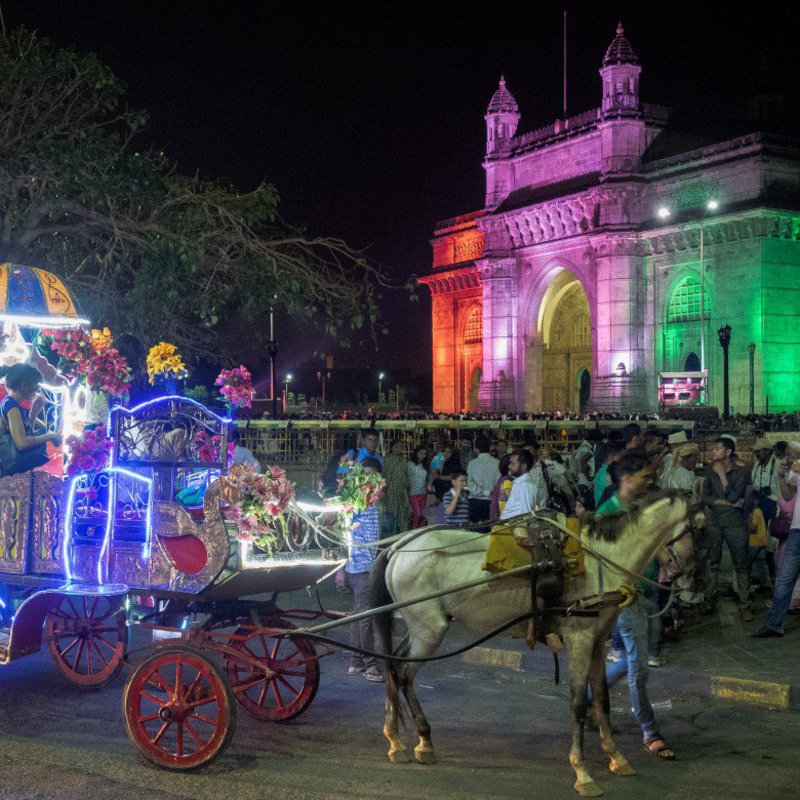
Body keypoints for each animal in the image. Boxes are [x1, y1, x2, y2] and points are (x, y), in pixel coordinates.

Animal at [372, 490, 692, 796]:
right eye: (696, 529)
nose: (691, 581)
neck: (600, 559)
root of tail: (397, 548)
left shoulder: (598, 641)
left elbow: (603, 699)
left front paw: (616, 757)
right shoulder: (579, 639)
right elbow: (578, 703)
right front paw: (582, 773)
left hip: (420, 628)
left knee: (394, 667)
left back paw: (399, 739)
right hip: (429, 629)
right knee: (402, 674)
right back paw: (418, 740)